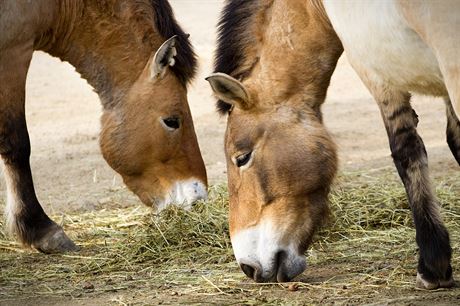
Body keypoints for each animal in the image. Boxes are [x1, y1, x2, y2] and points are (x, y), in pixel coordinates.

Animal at [208, 0, 460, 290]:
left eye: (242, 157)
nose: (249, 268)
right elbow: (454, 138)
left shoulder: (374, 71)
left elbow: (406, 152)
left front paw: (432, 266)